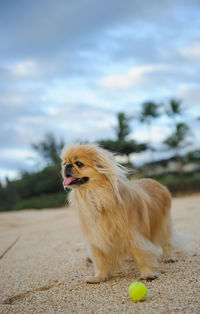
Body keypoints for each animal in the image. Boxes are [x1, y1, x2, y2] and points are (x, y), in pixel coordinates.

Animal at [60, 144, 180, 284]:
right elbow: (100, 261)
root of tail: (157, 183)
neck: (96, 197)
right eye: (64, 163)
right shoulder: (96, 239)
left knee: (167, 243)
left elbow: (142, 255)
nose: (67, 166)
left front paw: (148, 274)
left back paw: (169, 257)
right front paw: (99, 278)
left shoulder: (134, 236)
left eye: (79, 163)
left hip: (164, 225)